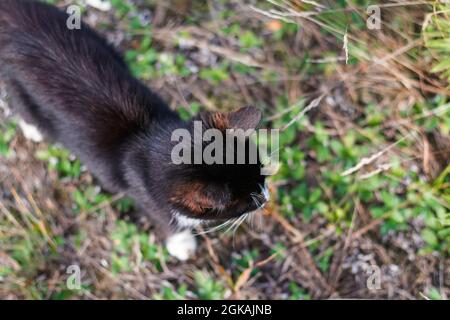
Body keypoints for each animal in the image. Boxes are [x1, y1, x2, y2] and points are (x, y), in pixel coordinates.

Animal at [0, 0, 268, 260]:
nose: (266, 198)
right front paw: (182, 244)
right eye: (248, 201)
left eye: (263, 176)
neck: (150, 135)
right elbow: (166, 220)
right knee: (22, 105)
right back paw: (34, 130)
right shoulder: (148, 196)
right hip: (19, 84)